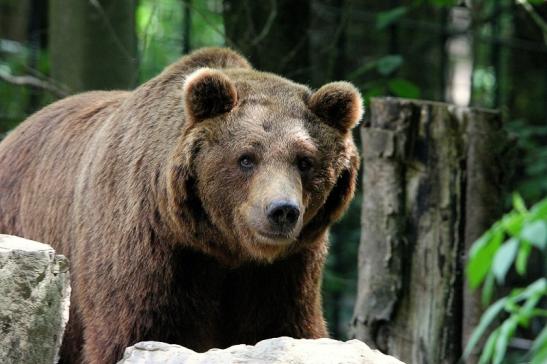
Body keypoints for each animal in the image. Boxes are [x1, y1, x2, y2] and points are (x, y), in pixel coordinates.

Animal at [0, 48, 362, 364]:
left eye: (305, 160)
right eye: (246, 158)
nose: (282, 211)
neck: (225, 248)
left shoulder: (286, 269)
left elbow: (284, 327)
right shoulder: (152, 249)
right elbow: (136, 332)